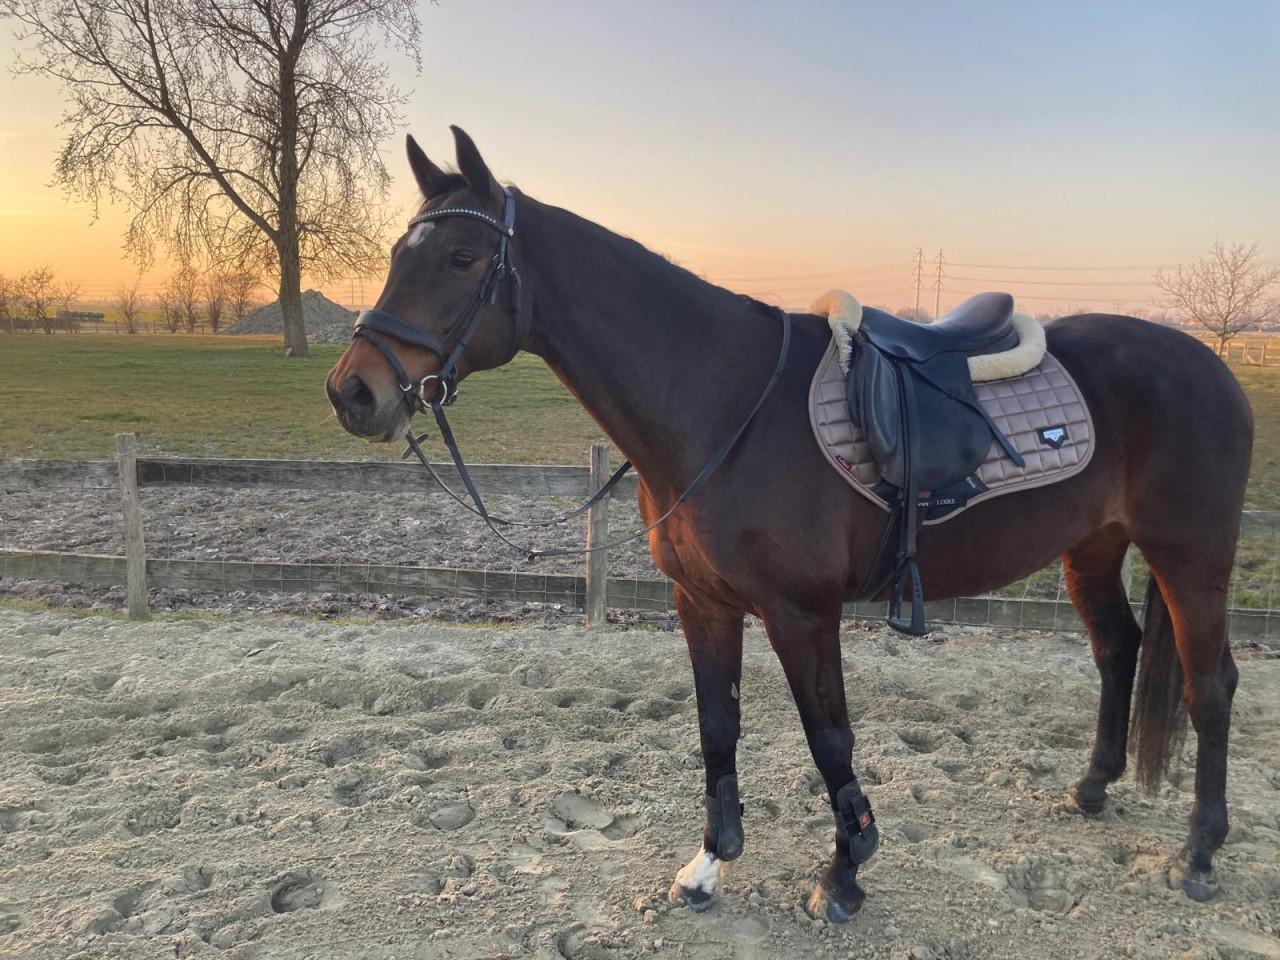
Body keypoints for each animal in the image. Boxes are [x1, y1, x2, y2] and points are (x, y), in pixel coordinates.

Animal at [325, 127, 1253, 920]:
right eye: (398, 255)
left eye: (463, 256)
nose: (352, 392)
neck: (727, 402)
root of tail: (1211, 364)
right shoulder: (702, 604)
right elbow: (718, 727)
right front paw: (711, 863)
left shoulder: (803, 614)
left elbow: (829, 738)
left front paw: (845, 874)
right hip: (1092, 549)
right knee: (1119, 650)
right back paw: (1092, 789)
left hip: (1190, 560)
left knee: (1210, 687)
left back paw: (1199, 855)